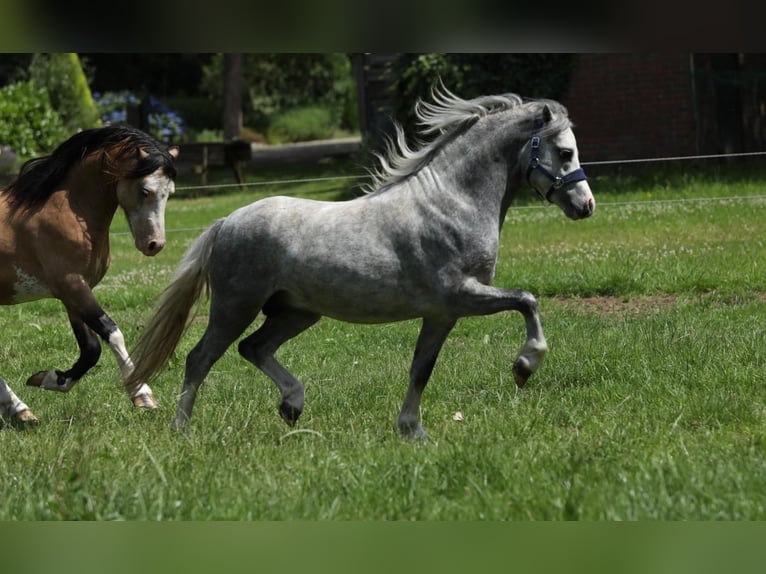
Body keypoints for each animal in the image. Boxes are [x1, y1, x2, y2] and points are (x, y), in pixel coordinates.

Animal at [0, 124, 178, 426]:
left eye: (171, 192)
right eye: (145, 190)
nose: (154, 244)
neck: (63, 209)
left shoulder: (74, 293)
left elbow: (91, 348)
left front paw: (50, 379)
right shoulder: (72, 285)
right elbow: (112, 333)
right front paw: (142, 395)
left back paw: (19, 409)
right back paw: (18, 408)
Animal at [127, 85, 592, 438]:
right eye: (566, 152)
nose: (585, 205)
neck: (451, 202)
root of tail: (227, 222)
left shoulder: (442, 314)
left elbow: (421, 368)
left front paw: (412, 431)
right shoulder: (462, 296)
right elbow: (528, 300)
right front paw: (524, 366)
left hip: (297, 313)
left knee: (253, 348)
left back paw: (292, 405)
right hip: (235, 307)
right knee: (200, 358)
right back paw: (182, 430)